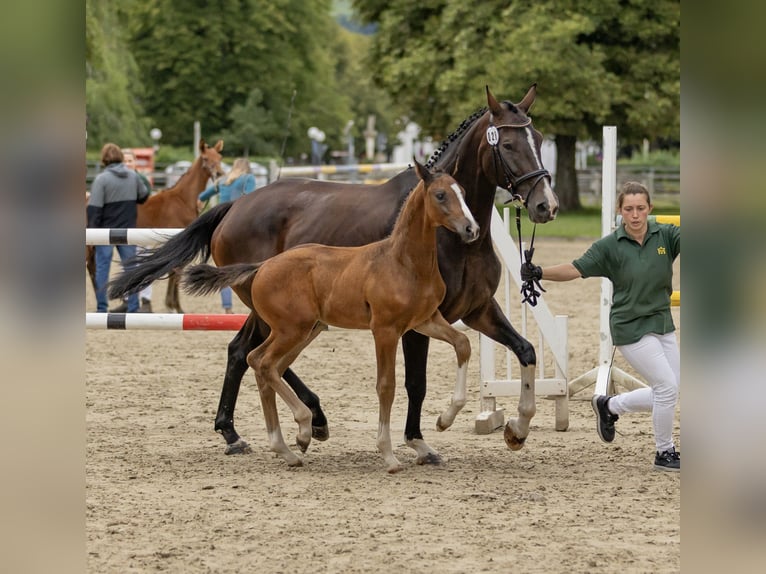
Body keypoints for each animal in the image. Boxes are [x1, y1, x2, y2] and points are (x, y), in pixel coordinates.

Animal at [86, 138, 224, 312]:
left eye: (219, 157)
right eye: (206, 158)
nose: (219, 174)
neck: (182, 200)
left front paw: (172, 305)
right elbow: (175, 271)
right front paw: (174, 307)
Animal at [183, 160, 478, 472]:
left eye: (463, 191)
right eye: (440, 195)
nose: (471, 228)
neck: (403, 261)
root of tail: (262, 265)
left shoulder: (425, 321)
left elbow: (462, 344)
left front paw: (445, 420)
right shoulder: (385, 330)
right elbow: (386, 386)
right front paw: (388, 455)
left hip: (304, 330)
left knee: (264, 364)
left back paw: (290, 445)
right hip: (292, 330)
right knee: (262, 362)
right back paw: (299, 428)